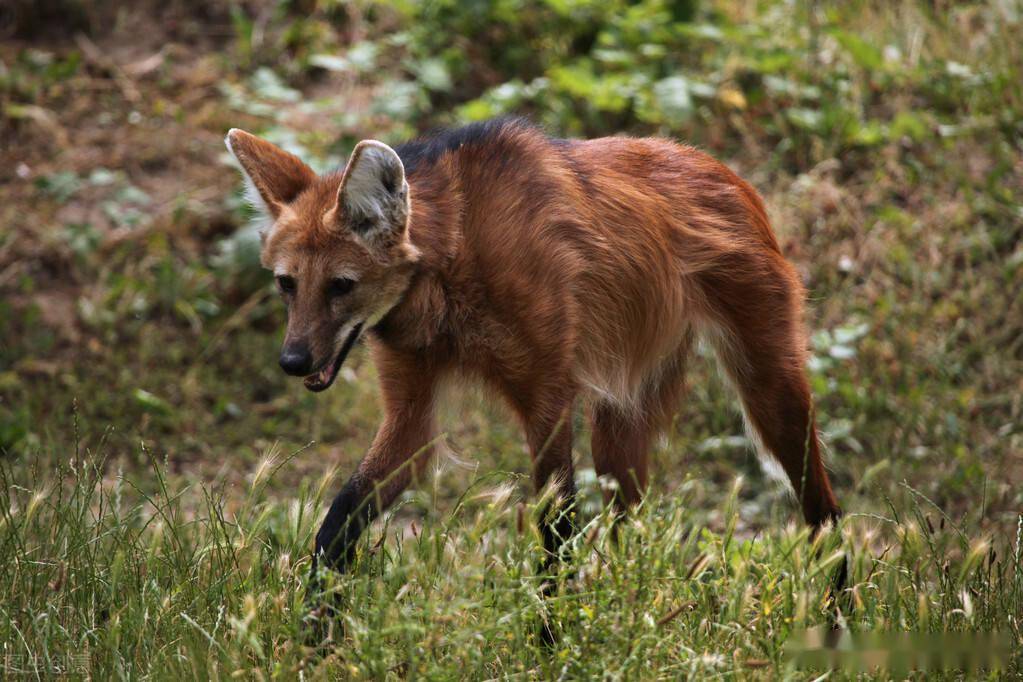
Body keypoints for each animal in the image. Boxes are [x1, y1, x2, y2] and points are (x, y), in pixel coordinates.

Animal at [224, 116, 838, 580]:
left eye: (340, 286)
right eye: (286, 284)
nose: (292, 362)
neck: (450, 266)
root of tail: (724, 170)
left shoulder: (547, 395)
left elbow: (556, 532)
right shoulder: (413, 406)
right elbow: (340, 519)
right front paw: (313, 635)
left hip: (768, 383)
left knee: (823, 511)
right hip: (619, 414)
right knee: (629, 523)